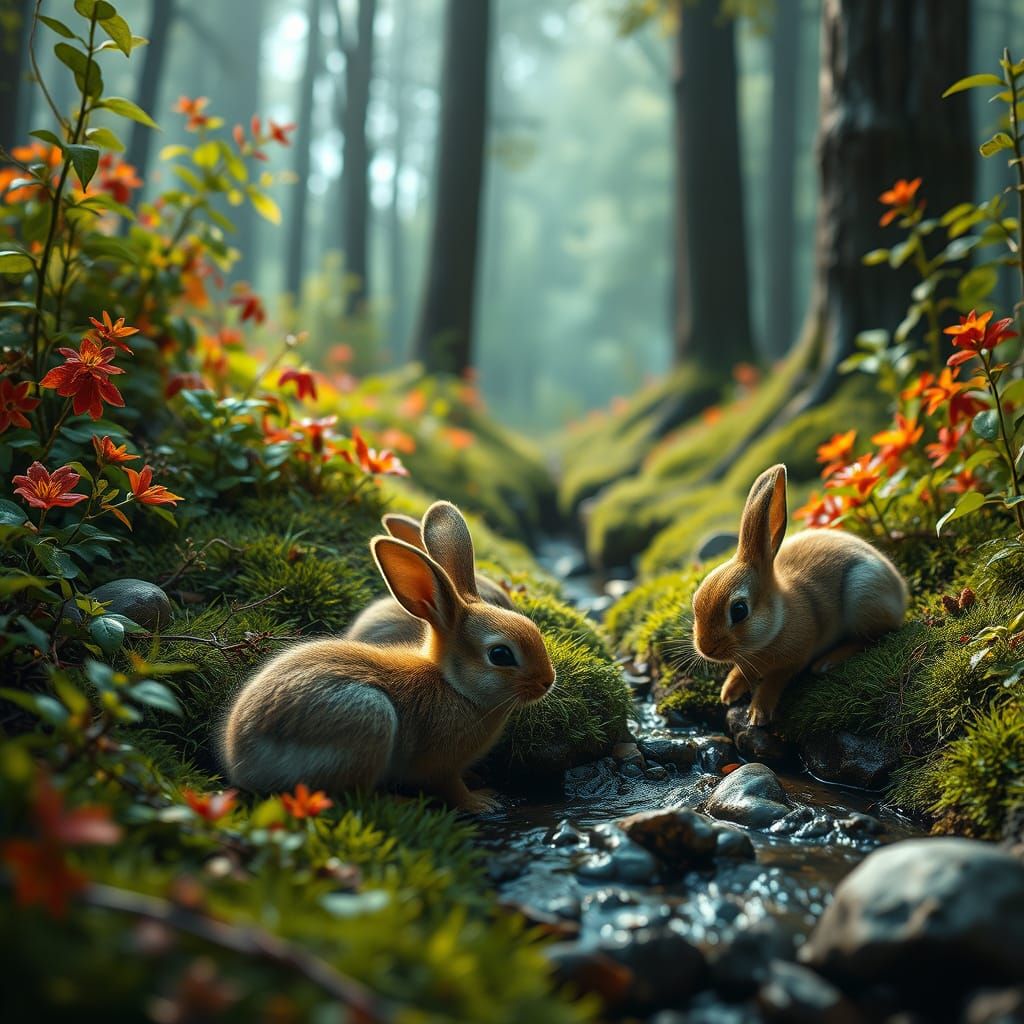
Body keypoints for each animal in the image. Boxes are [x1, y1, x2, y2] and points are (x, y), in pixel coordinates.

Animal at [690, 463, 908, 727]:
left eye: (739, 610)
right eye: (695, 602)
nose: (706, 648)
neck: (778, 620)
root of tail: (900, 589)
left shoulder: (793, 660)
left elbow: (774, 681)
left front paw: (758, 713)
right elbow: (742, 672)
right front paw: (728, 692)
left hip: (864, 596)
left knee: (873, 636)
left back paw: (827, 662)